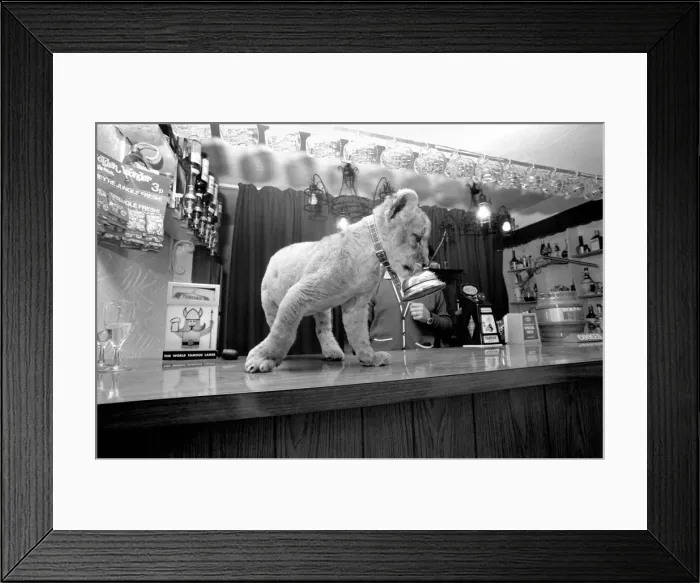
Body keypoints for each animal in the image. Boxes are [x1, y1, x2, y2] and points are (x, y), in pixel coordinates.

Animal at [244, 188, 432, 373]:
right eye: (418, 238)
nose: (427, 263)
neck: (370, 257)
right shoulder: (298, 293)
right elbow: (281, 331)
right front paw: (263, 358)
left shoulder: (357, 303)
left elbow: (359, 333)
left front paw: (370, 358)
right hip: (269, 302)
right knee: (273, 324)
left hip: (323, 308)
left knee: (323, 329)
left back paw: (332, 351)